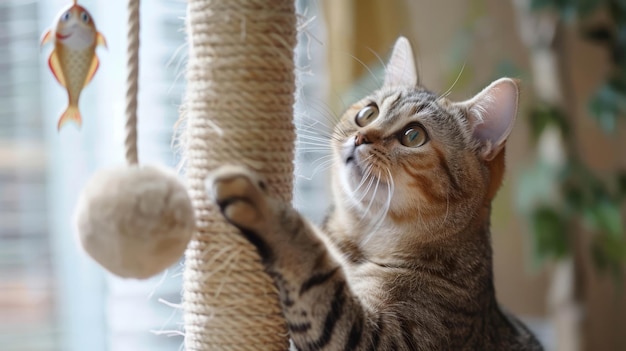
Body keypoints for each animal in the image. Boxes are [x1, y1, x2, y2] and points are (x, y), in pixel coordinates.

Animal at [206, 37, 540, 350]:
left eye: (413, 136)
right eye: (368, 113)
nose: (360, 137)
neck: (362, 240)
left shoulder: (379, 337)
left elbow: (312, 264)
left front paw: (263, 206)